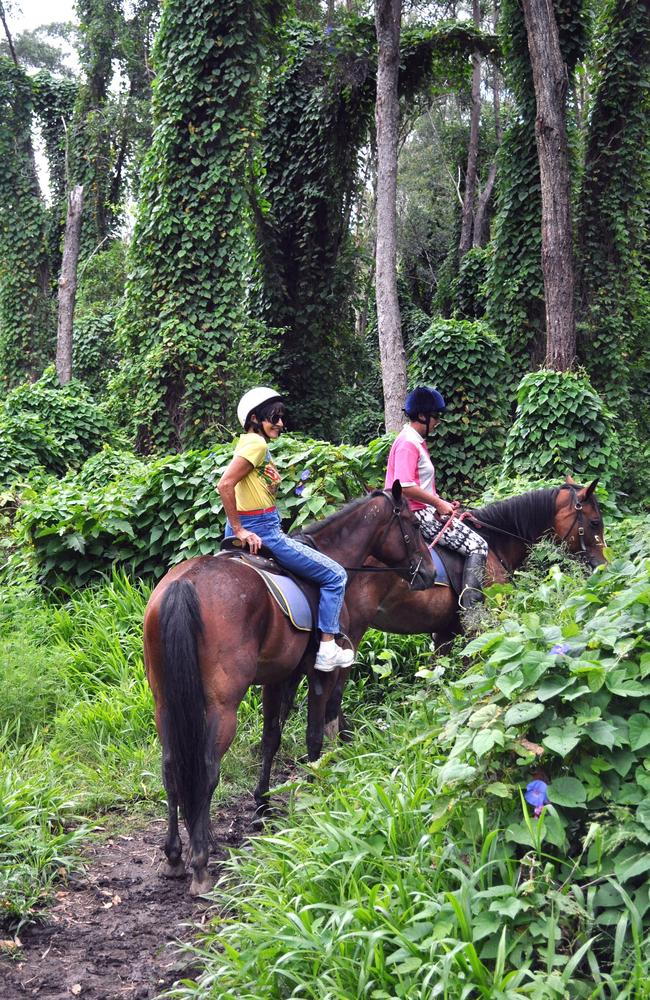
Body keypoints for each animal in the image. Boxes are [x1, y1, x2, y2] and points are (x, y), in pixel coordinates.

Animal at [143, 480, 436, 896]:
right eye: (411, 524)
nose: (427, 572)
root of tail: (185, 583)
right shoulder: (318, 674)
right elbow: (313, 735)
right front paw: (317, 787)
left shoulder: (279, 677)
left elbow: (271, 738)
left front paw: (262, 806)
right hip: (222, 705)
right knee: (208, 767)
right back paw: (199, 862)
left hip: (165, 702)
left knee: (170, 767)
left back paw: (174, 856)